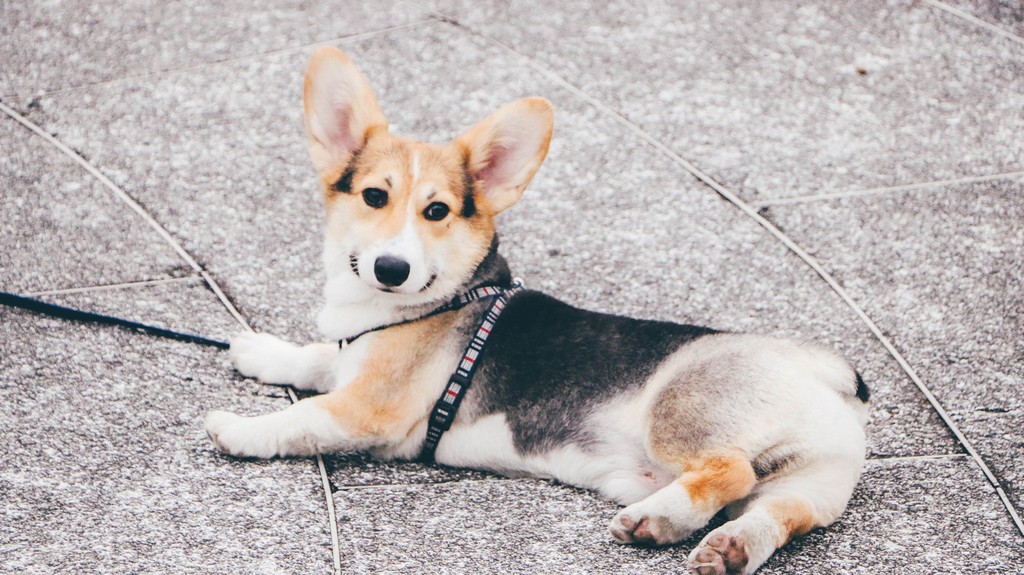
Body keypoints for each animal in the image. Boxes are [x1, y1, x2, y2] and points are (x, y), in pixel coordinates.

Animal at [203, 45, 868, 572]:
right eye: (373, 197)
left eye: (437, 211)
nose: (392, 268)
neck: (422, 303)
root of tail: (827, 374)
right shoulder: (350, 365)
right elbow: (314, 358)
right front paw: (260, 350)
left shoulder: (367, 409)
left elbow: (302, 416)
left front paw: (240, 428)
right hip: (811, 482)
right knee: (778, 512)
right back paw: (718, 544)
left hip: (681, 412)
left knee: (730, 470)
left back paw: (655, 517)